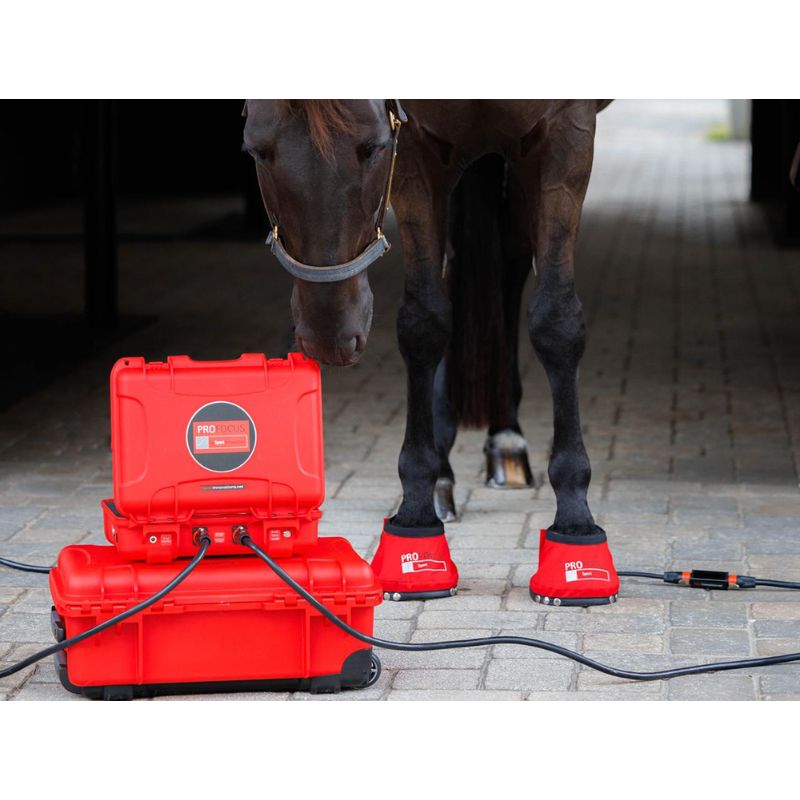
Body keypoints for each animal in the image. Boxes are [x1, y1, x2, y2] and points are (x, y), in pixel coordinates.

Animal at [242, 100, 617, 605]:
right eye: (257, 151)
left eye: (373, 148)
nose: (329, 333)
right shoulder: (418, 148)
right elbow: (424, 321)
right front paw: (418, 507)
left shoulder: (566, 133)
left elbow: (556, 320)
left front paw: (575, 519)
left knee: (512, 257)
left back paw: (507, 440)